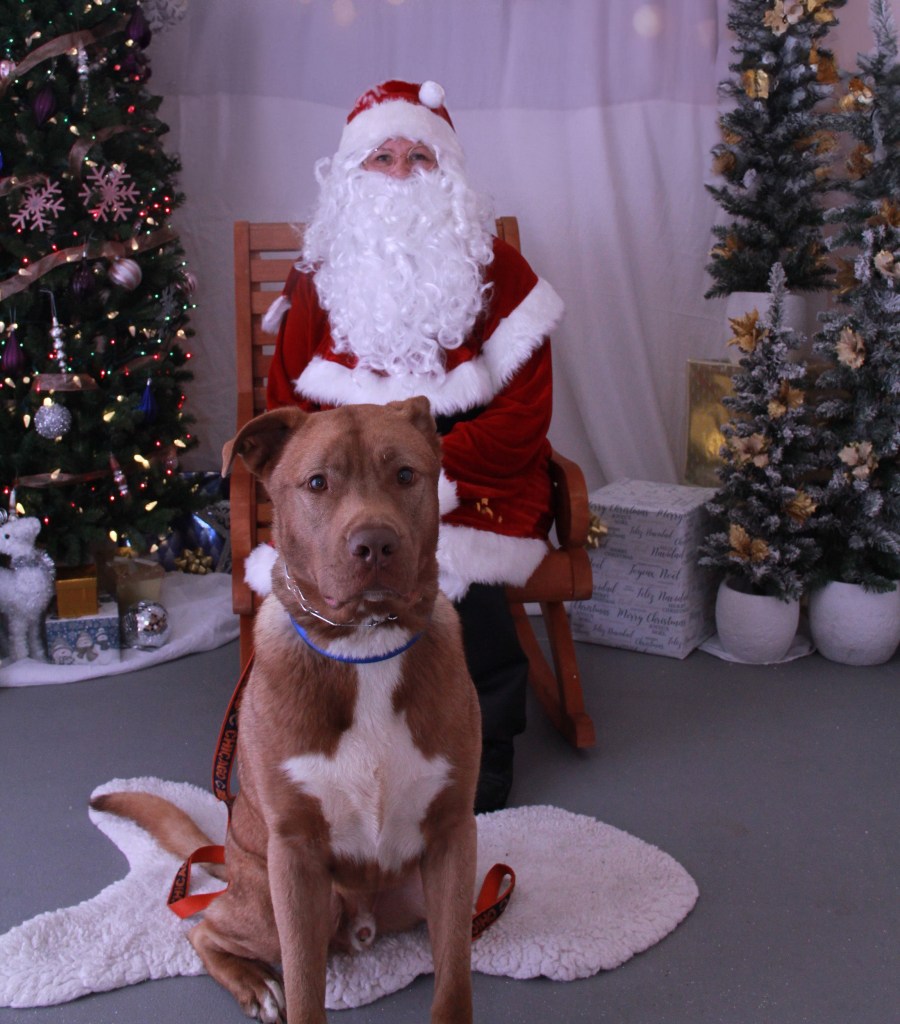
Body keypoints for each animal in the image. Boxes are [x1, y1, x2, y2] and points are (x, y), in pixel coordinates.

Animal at [93, 397, 482, 1024]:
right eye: (317, 482)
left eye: (405, 475)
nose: (375, 544)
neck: (365, 644)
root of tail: (227, 859)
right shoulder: (296, 858)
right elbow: (303, 986)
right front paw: (285, 991)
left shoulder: (452, 835)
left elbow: (453, 982)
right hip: (273, 901)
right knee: (204, 931)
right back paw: (253, 982)